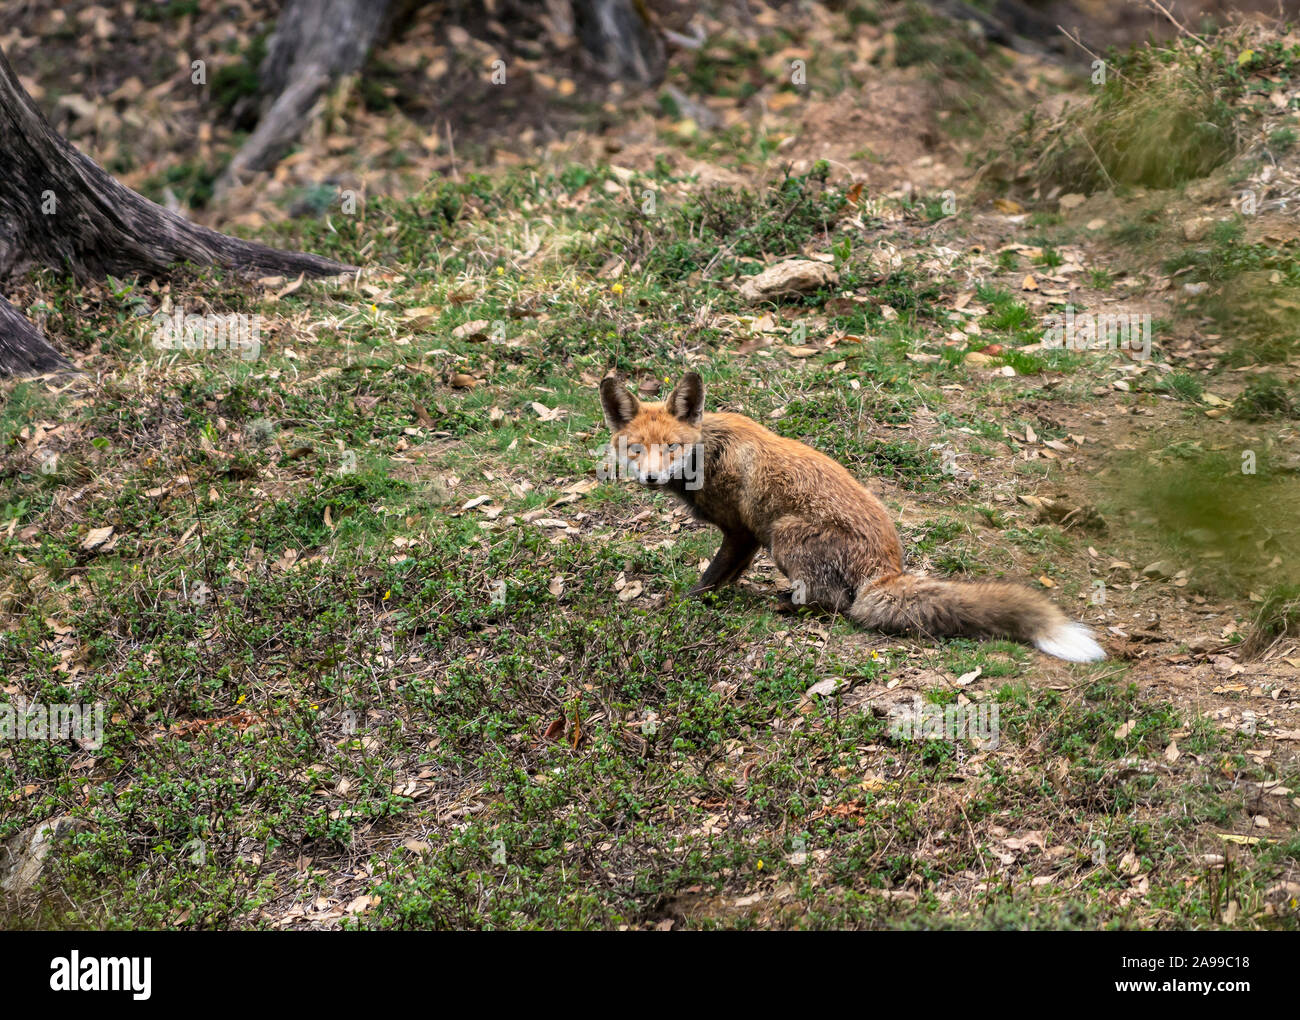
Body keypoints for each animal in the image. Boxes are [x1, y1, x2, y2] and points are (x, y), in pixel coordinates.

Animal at [600, 369, 1107, 665]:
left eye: (672, 447)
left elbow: (710, 578)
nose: (650, 478)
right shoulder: (743, 537)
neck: (708, 452)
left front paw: (682, 605)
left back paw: (785, 604)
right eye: (636, 449)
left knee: (835, 603)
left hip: (785, 535)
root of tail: (886, 570)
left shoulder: (743, 533)